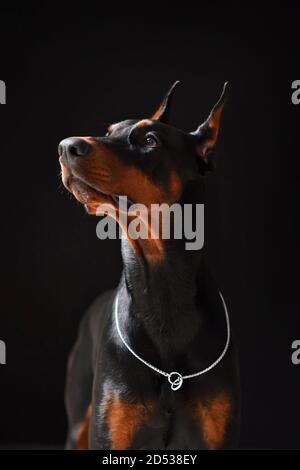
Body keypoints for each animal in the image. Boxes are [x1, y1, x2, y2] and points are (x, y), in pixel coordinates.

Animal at [58, 82, 240, 450]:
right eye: (109, 131)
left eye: (150, 141)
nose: (66, 147)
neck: (161, 289)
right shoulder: (111, 434)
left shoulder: (218, 434)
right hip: (78, 423)